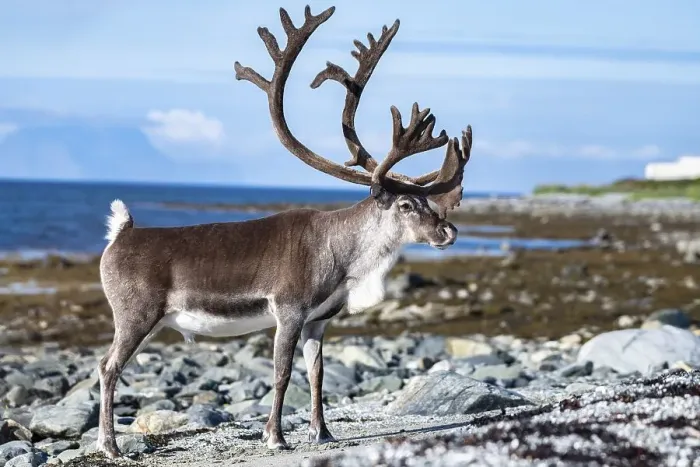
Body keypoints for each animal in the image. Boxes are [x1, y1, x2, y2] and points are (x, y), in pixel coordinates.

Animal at [96, 4, 472, 458]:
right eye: (406, 205)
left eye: (429, 201)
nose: (449, 232)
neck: (344, 257)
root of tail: (121, 234)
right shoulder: (288, 309)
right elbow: (282, 372)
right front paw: (275, 436)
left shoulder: (319, 320)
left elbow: (318, 374)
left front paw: (322, 433)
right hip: (135, 314)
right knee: (107, 366)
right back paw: (110, 446)